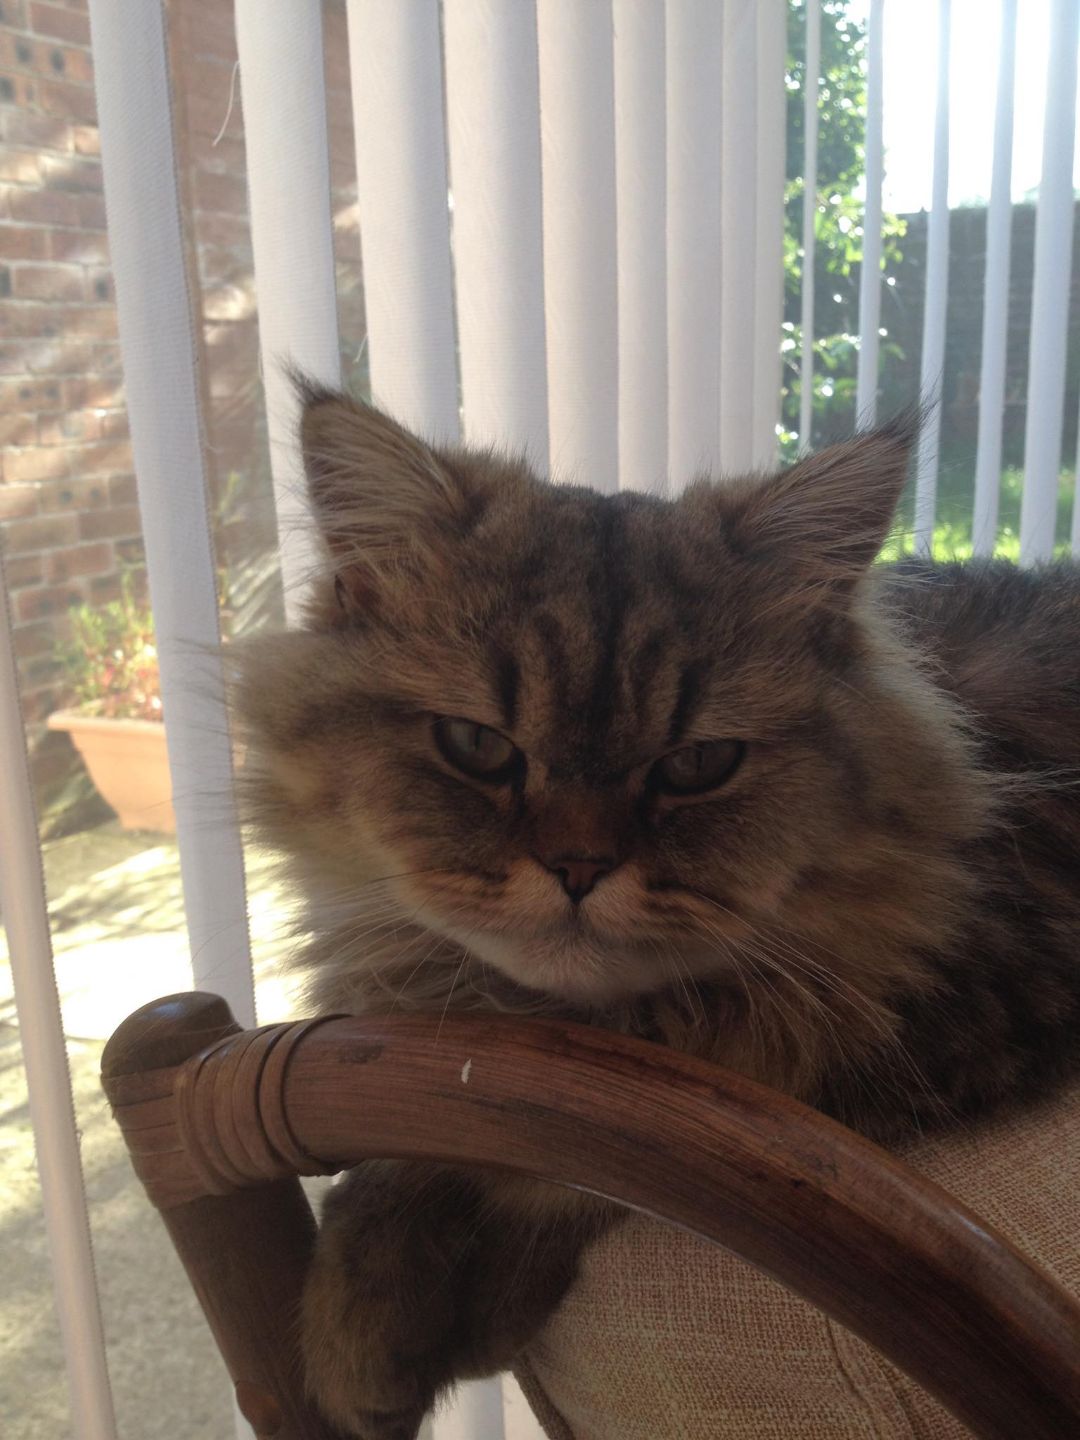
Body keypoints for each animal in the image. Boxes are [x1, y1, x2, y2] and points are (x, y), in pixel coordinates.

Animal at [236, 385, 1080, 1440]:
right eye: (477, 746)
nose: (578, 867)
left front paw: (387, 1324)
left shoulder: (928, 1026)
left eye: (696, 765)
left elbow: (546, 1169)